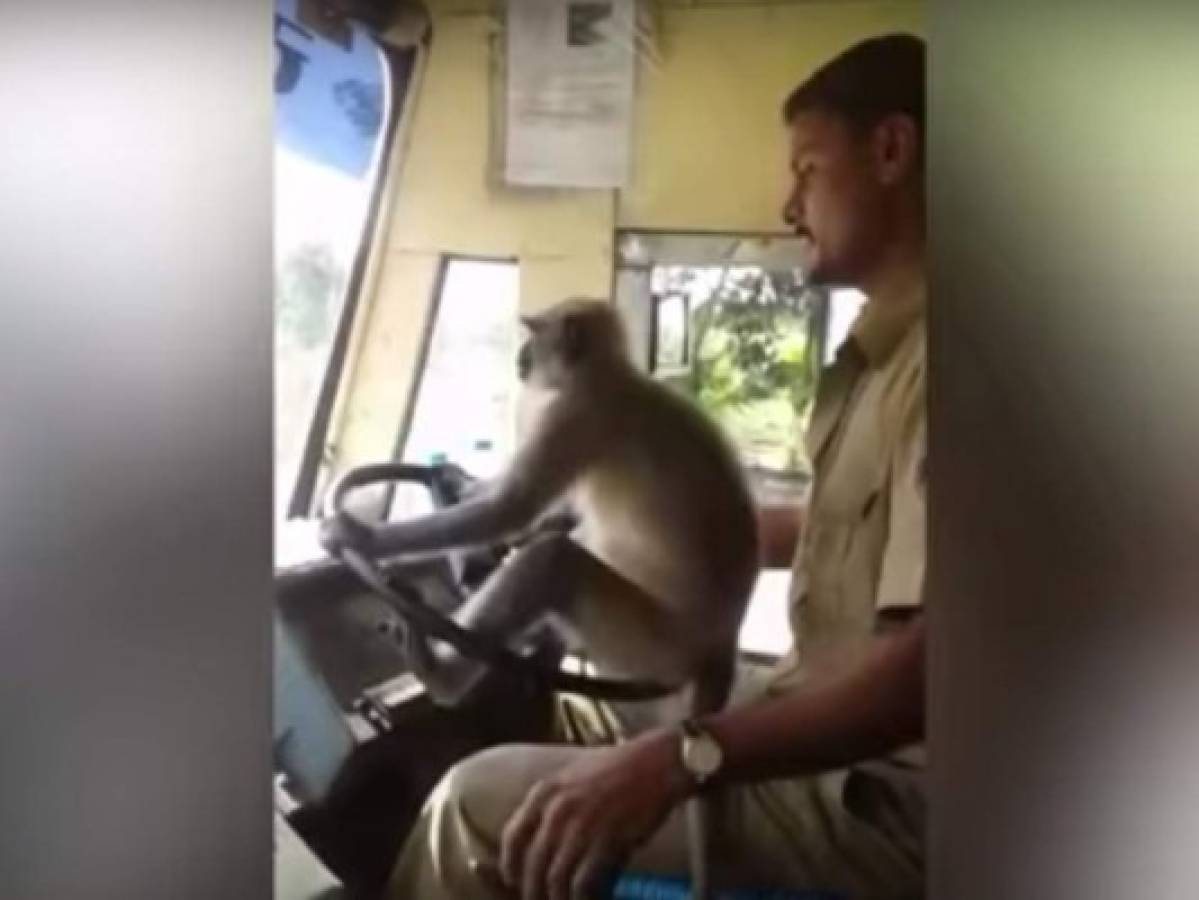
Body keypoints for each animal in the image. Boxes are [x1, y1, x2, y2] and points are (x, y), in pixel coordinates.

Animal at [321, 299, 757, 723]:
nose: (521, 354)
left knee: (552, 560)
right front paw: (455, 480)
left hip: (651, 646)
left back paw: (440, 675)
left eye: (532, 334)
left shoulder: (574, 413)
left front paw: (360, 537)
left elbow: (511, 508)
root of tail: (721, 644)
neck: (610, 378)